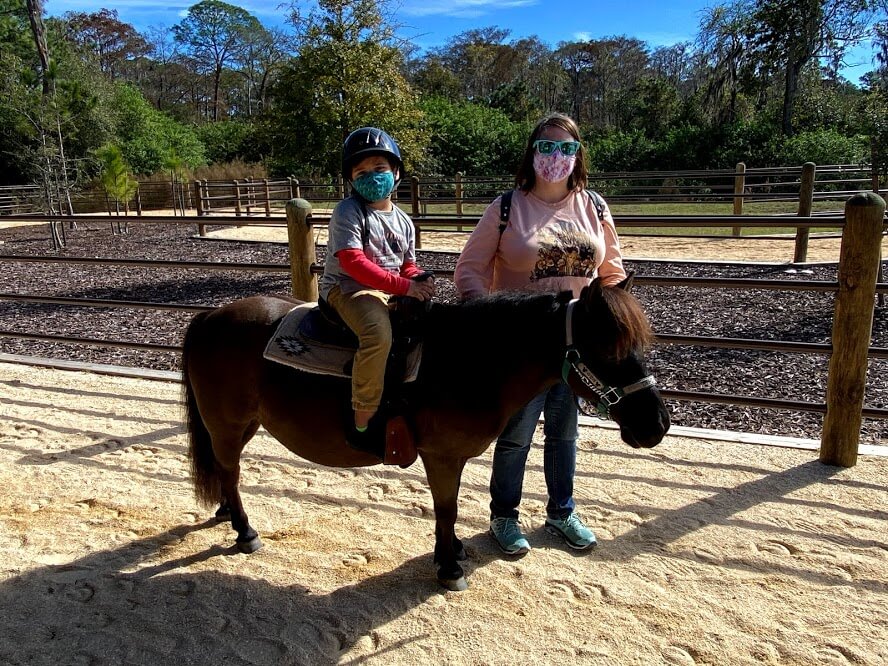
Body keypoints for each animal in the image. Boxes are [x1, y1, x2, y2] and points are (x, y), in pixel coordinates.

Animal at [182, 278, 664, 588]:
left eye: (638, 345)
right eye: (609, 350)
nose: (657, 424)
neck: (464, 360)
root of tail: (210, 316)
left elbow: (446, 512)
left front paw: (452, 551)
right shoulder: (442, 456)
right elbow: (447, 510)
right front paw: (449, 568)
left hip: (243, 425)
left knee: (226, 470)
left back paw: (225, 512)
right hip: (226, 423)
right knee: (231, 472)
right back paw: (244, 531)